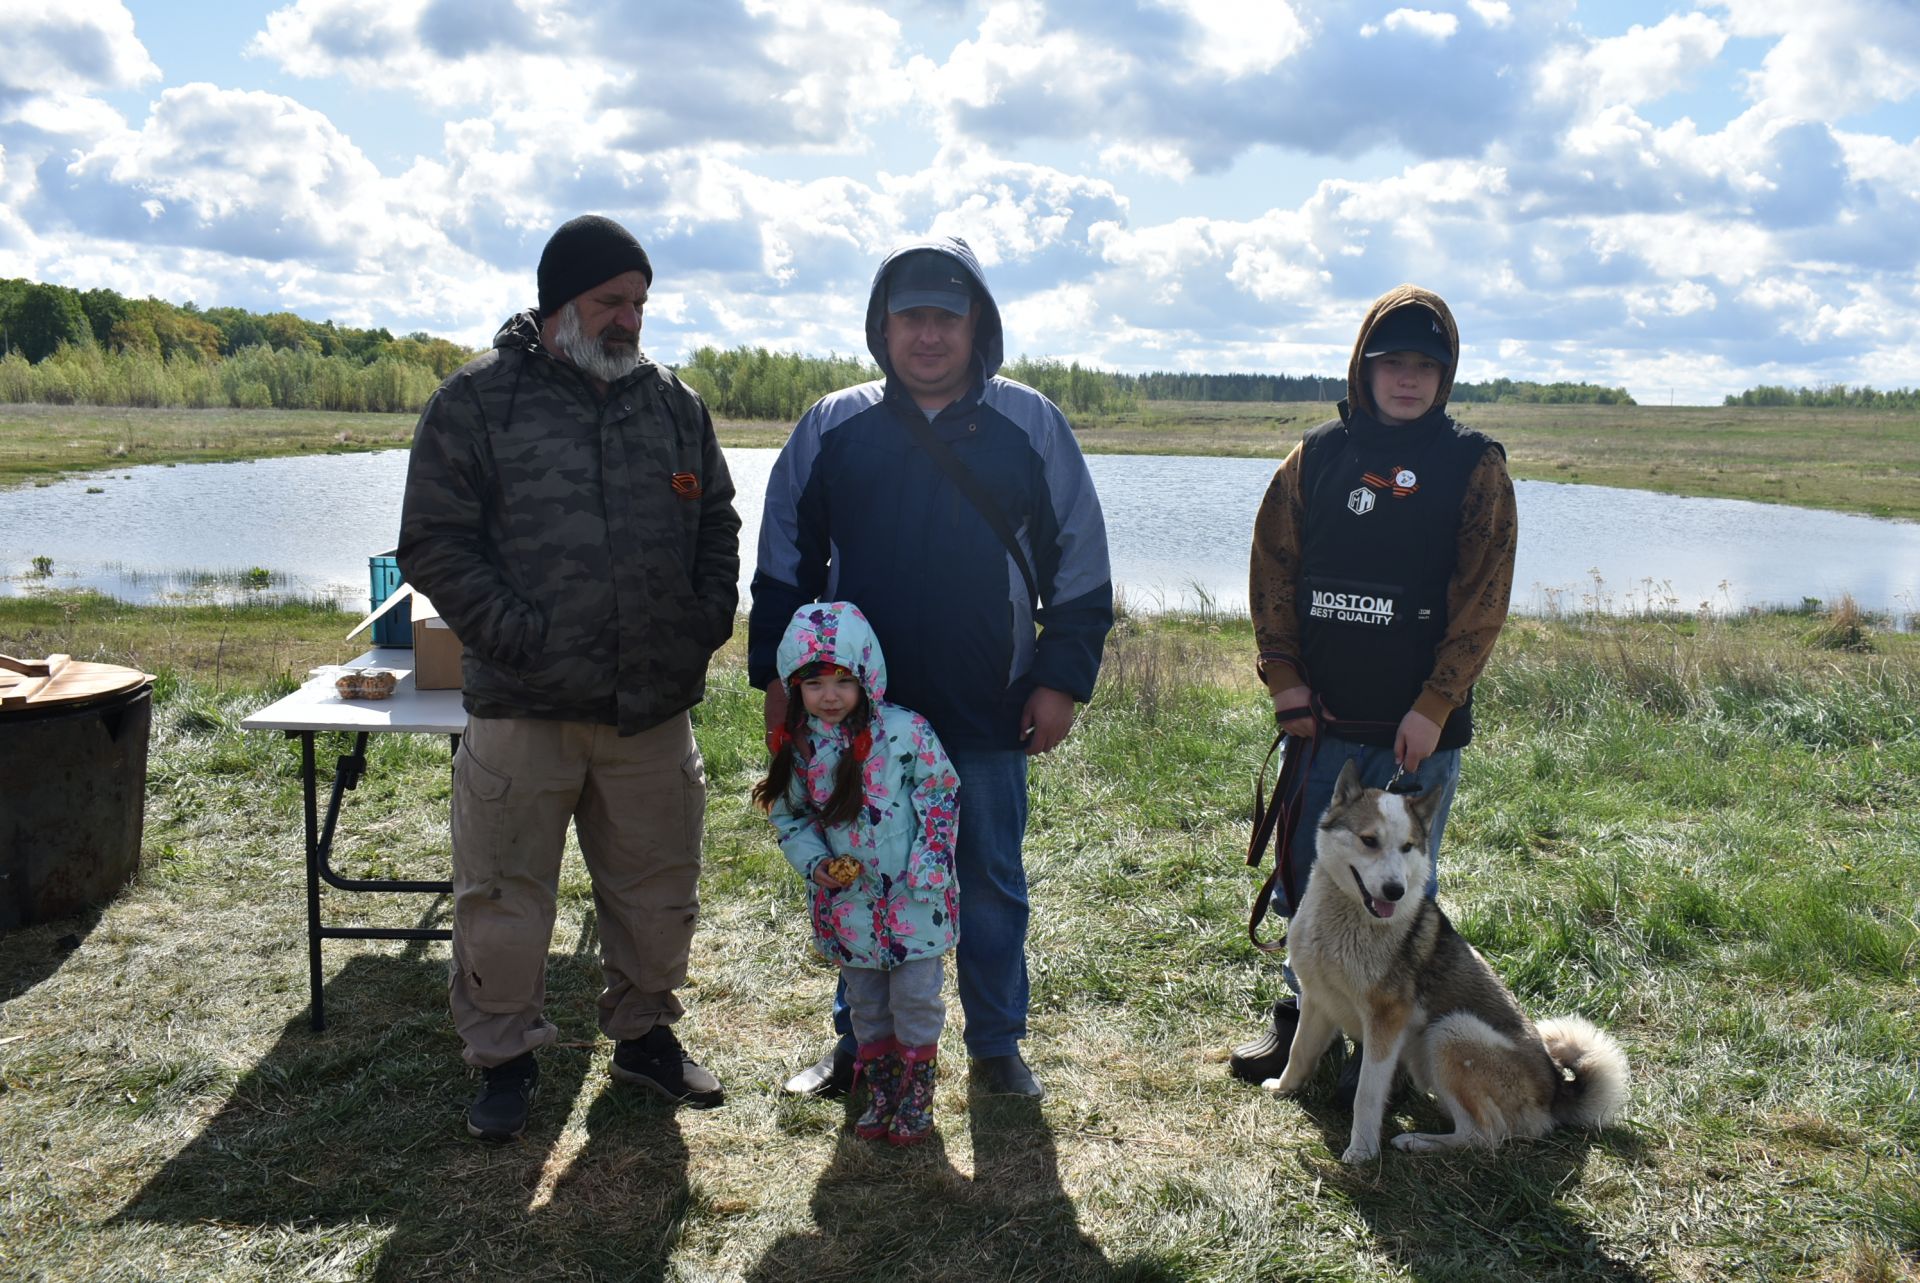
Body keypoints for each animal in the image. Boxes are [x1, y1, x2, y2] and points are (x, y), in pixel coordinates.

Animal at [1267, 756, 1628, 1167]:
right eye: (1369, 840)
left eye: (1408, 847)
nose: (1395, 890)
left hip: (1451, 1032)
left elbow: (1367, 1094)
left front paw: (1362, 1150)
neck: (1346, 918)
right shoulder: (1318, 1001)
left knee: (1485, 1135)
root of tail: (1555, 1093)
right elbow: (1298, 1052)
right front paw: (1282, 1088)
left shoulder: (1385, 1023)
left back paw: (1418, 1141)